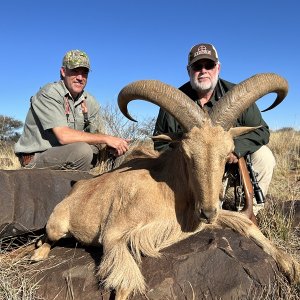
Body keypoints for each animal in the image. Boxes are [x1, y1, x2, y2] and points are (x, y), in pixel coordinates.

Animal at [31, 73, 300, 300]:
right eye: (186, 154)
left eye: (228, 154)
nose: (207, 212)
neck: (168, 192)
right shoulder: (114, 235)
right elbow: (125, 284)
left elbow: (247, 225)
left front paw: (292, 267)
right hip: (57, 225)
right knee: (47, 237)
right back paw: (37, 254)